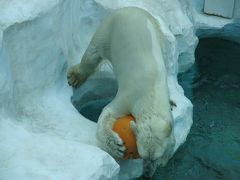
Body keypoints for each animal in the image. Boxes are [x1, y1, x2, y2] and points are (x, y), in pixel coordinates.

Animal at [66, 7, 175, 177]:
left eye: (156, 158)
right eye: (142, 155)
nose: (146, 174)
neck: (152, 95)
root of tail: (132, 8)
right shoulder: (130, 97)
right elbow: (108, 112)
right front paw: (115, 145)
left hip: (157, 33)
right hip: (109, 28)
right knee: (92, 53)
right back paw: (76, 77)